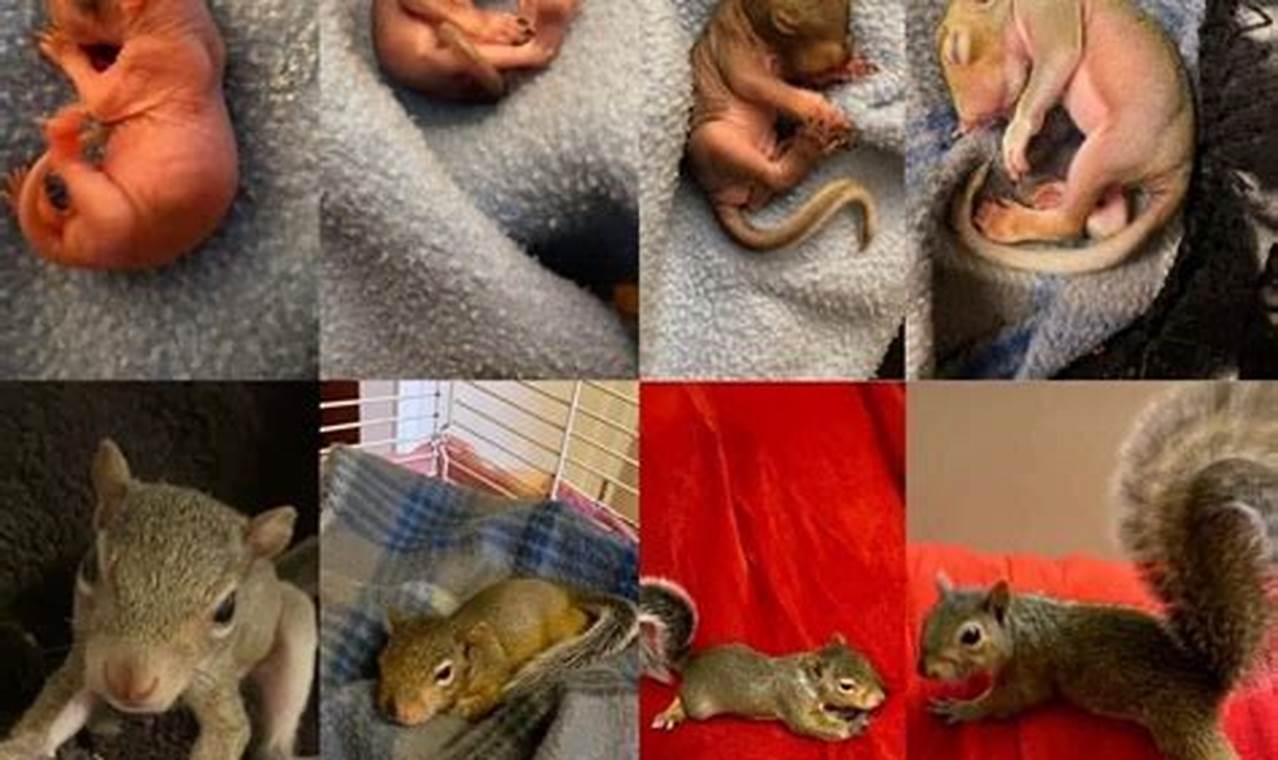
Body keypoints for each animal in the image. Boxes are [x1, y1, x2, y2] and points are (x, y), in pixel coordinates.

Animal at [0, 439, 317, 760]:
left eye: (227, 609)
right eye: (89, 568)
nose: (129, 682)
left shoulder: (217, 681)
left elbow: (230, 730)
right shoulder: (84, 657)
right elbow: (57, 707)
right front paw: (21, 746)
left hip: (295, 626)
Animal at [376, 576, 637, 725]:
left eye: (444, 673)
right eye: (382, 662)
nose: (398, 711)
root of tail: (567, 595)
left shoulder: (495, 674)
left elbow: (489, 697)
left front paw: (467, 707)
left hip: (563, 626)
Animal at [639, 578, 887, 742]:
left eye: (866, 661)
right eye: (846, 685)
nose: (881, 698)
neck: (806, 679)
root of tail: (691, 661)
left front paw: (845, 713)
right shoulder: (793, 702)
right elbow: (810, 725)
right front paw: (854, 725)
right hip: (700, 705)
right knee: (682, 699)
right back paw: (671, 714)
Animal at [917, 383, 1278, 760]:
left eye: (971, 635)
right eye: (928, 617)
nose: (925, 670)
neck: (1018, 628)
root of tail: (1208, 683)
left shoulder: (1029, 669)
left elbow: (1010, 702)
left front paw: (963, 708)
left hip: (1182, 726)